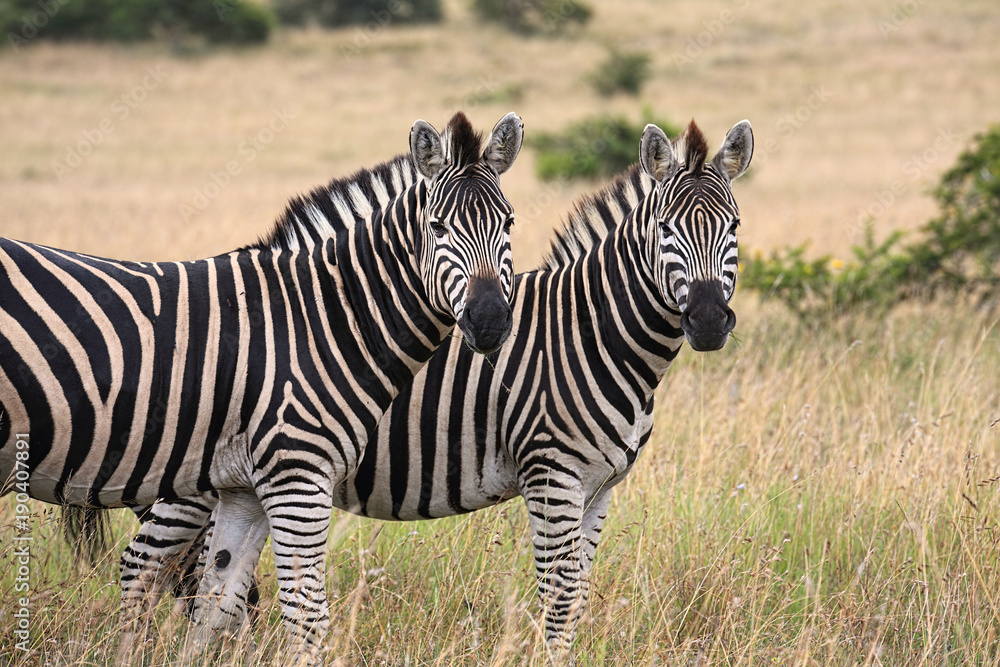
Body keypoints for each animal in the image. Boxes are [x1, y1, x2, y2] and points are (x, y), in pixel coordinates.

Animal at [0, 111, 524, 663]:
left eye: (509, 223)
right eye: (437, 226)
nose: (490, 321)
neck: (323, 321)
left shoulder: (244, 486)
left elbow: (219, 605)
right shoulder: (297, 477)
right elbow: (307, 616)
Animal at [77, 118, 752, 653]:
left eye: (735, 227)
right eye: (665, 230)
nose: (708, 321)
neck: (588, 335)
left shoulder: (600, 488)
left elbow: (577, 597)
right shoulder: (551, 476)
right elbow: (557, 599)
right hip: (184, 480)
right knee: (143, 568)